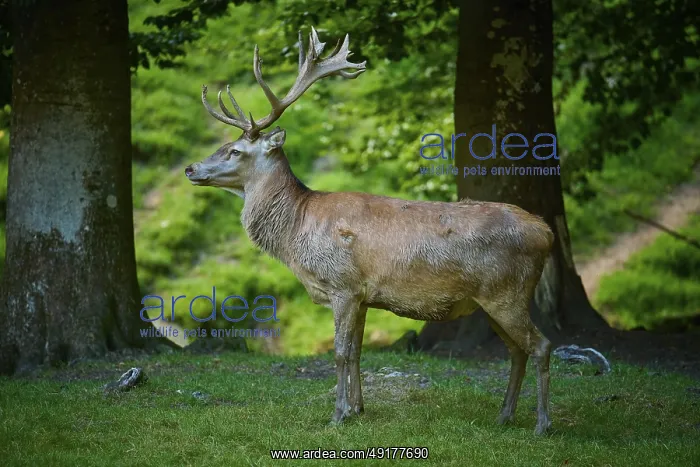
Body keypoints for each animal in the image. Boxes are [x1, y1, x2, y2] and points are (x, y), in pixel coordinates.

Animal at [185, 27, 554, 435]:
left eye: (235, 150)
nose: (190, 168)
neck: (297, 231)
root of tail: (545, 232)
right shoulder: (362, 295)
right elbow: (358, 352)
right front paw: (358, 408)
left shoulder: (342, 285)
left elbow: (340, 351)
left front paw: (337, 414)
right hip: (492, 300)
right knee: (517, 350)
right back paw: (504, 415)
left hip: (508, 291)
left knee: (541, 346)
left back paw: (541, 424)